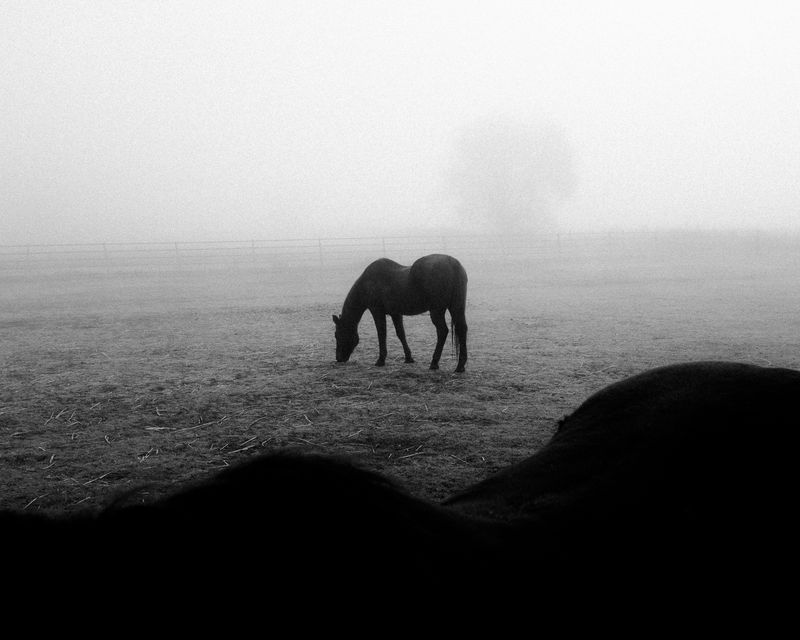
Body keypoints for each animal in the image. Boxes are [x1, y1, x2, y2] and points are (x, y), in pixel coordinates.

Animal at [332, 254, 468, 372]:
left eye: (337, 334)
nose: (338, 358)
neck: (368, 282)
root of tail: (452, 263)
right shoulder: (396, 313)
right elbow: (401, 334)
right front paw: (409, 358)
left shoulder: (377, 312)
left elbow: (382, 334)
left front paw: (380, 360)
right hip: (456, 308)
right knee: (462, 329)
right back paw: (460, 366)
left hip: (437, 311)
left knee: (442, 331)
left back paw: (434, 363)